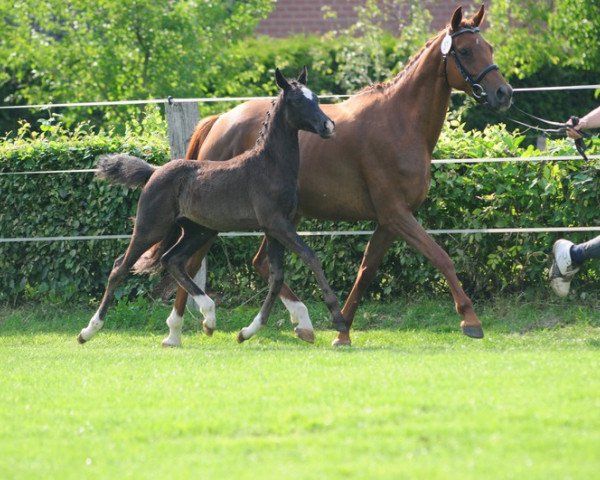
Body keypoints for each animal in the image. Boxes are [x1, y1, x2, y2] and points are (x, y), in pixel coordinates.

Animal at [171, 5, 512, 346]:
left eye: (490, 47)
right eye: (465, 51)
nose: (503, 93)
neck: (401, 123)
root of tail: (220, 120)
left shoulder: (388, 222)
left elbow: (365, 272)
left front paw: (342, 330)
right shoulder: (397, 214)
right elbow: (441, 257)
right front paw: (470, 320)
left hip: (281, 218)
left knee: (258, 263)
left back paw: (300, 323)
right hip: (217, 219)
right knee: (189, 262)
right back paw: (180, 330)